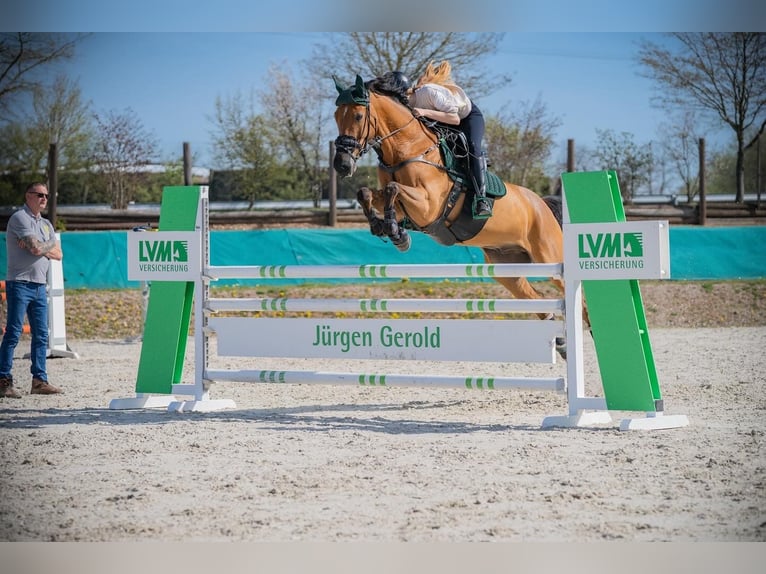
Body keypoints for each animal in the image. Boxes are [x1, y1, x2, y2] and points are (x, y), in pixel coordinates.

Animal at [332, 75, 579, 344]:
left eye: (358, 116)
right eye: (336, 116)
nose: (341, 165)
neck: (407, 149)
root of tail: (541, 203)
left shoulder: (428, 206)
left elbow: (392, 188)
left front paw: (396, 233)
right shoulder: (410, 207)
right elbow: (366, 193)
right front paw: (385, 227)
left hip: (550, 259)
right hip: (507, 268)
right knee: (537, 302)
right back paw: (561, 343)